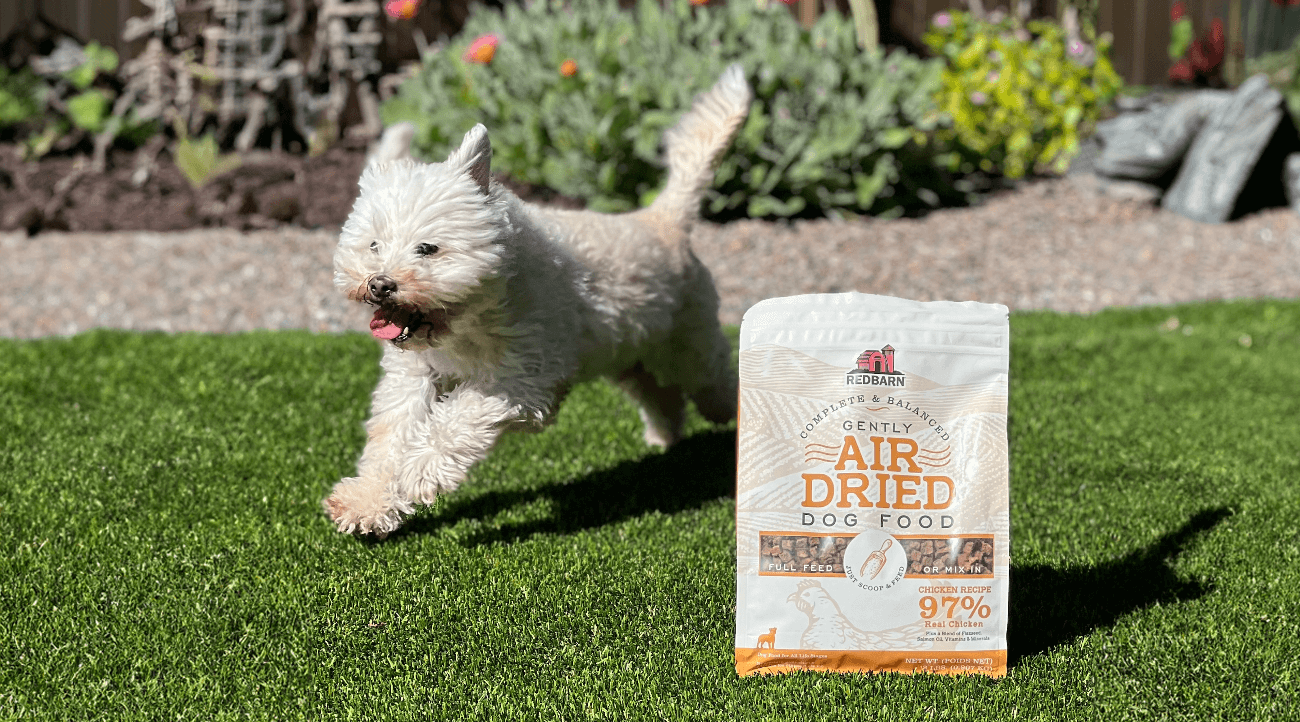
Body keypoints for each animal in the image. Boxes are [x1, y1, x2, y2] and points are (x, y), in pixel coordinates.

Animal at [322, 65, 754, 535]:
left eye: (428, 249)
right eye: (374, 245)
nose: (379, 284)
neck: (470, 318)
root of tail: (662, 219)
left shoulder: (526, 379)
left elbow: (460, 418)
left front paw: (419, 471)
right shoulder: (414, 375)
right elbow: (390, 433)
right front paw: (368, 501)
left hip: (693, 349)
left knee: (717, 389)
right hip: (631, 355)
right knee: (661, 394)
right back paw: (664, 437)